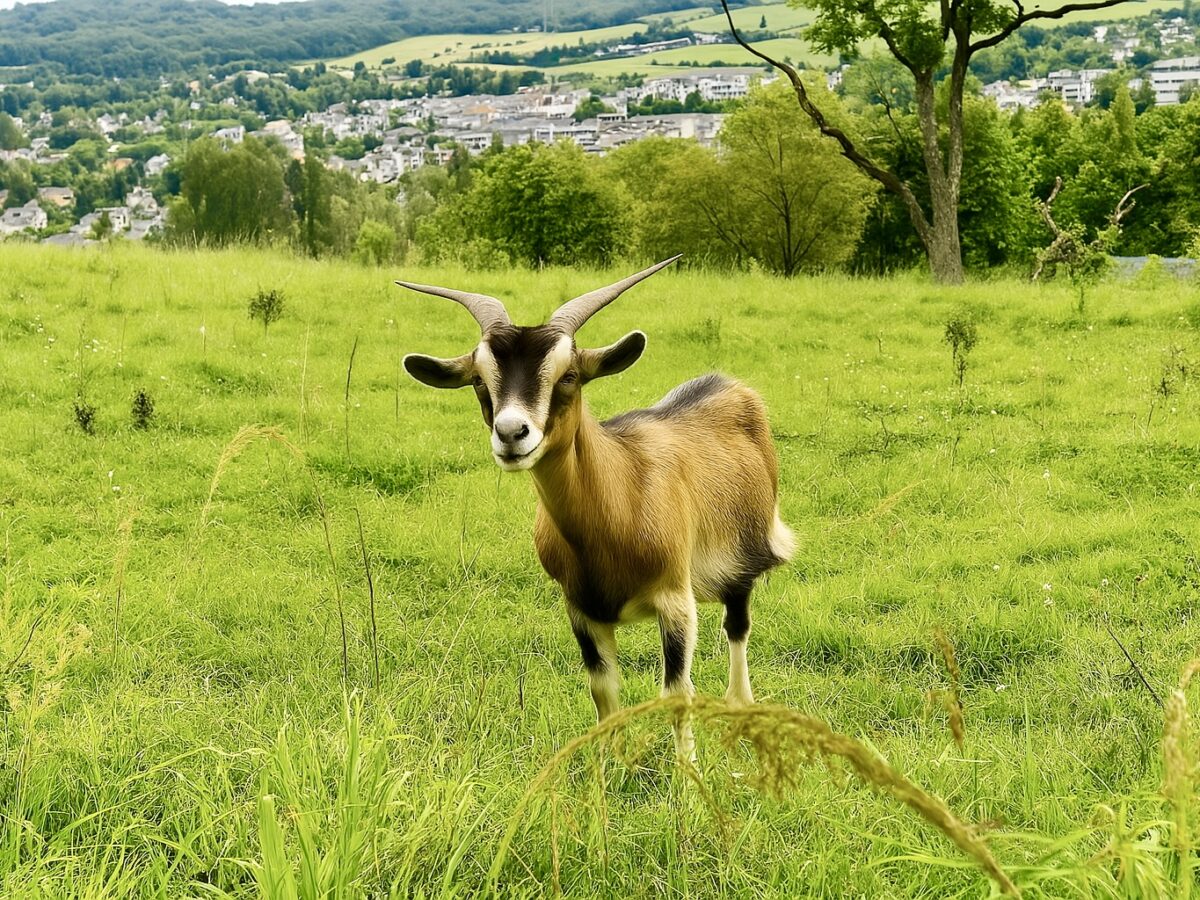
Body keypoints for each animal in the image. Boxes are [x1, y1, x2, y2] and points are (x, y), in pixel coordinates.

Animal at [399, 257, 794, 757]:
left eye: (568, 376)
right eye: (477, 381)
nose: (512, 433)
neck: (620, 498)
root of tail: (733, 387)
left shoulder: (676, 600)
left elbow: (676, 692)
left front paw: (687, 773)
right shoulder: (581, 609)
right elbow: (604, 690)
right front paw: (611, 764)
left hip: (744, 556)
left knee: (737, 625)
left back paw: (741, 708)